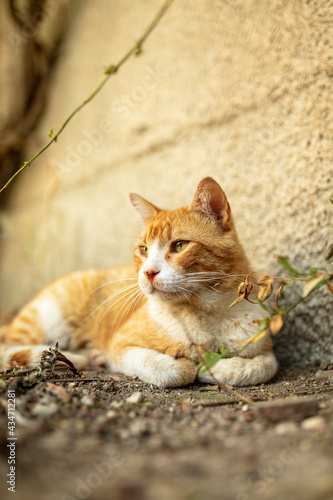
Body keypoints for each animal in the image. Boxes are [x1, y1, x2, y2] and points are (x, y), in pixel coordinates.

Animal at [0, 178, 278, 388]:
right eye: (143, 250)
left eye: (179, 245)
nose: (148, 272)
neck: (206, 314)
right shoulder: (121, 345)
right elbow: (168, 370)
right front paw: (190, 367)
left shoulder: (265, 345)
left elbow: (266, 365)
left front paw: (219, 368)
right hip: (48, 319)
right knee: (9, 346)